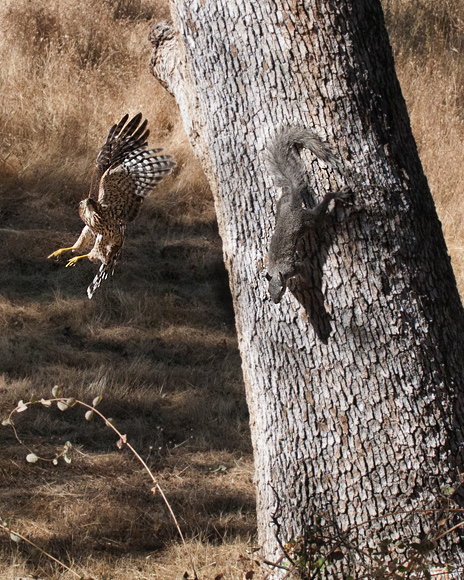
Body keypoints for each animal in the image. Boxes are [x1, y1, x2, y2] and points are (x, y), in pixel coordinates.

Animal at [264, 127, 352, 304]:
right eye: (269, 291)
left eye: (281, 288)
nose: (275, 301)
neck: (277, 269)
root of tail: (291, 205)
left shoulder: (293, 267)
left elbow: (302, 269)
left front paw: (305, 283)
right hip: (282, 205)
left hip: (308, 220)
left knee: (323, 205)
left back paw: (337, 195)